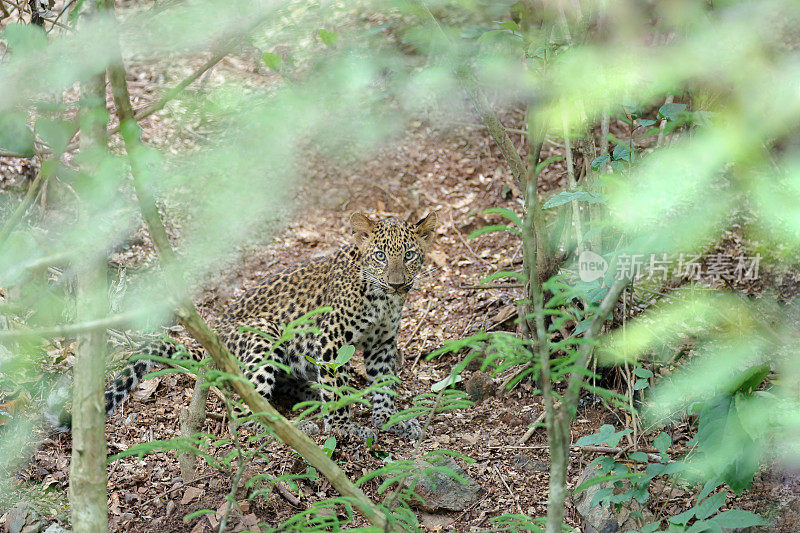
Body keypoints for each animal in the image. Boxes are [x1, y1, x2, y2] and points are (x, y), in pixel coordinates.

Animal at [48, 212, 438, 440]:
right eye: (380, 256)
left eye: (409, 255)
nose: (398, 283)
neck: (384, 299)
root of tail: (213, 338)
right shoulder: (329, 341)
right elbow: (337, 391)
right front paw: (346, 428)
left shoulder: (383, 343)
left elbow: (384, 383)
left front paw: (390, 419)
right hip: (265, 333)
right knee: (244, 410)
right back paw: (297, 427)